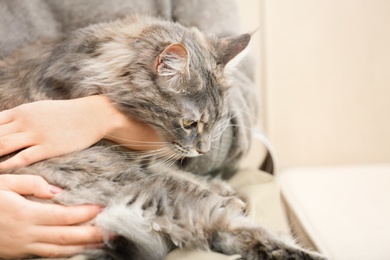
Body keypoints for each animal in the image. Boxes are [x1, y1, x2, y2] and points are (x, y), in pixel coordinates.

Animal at [0, 15, 326, 258]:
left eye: (218, 120)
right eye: (189, 122)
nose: (203, 150)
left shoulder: (143, 157)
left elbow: (184, 172)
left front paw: (222, 187)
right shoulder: (137, 157)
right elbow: (182, 174)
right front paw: (225, 192)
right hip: (163, 196)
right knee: (237, 230)